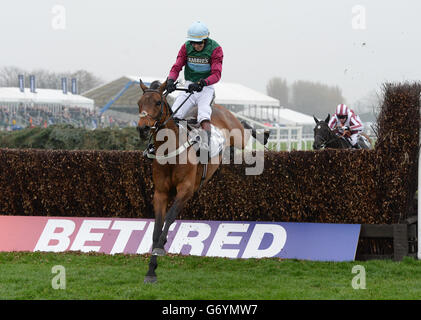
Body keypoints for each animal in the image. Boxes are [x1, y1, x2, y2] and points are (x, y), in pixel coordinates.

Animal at [136, 79, 268, 282]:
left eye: (158, 102)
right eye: (139, 103)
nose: (142, 128)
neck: (171, 151)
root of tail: (219, 107)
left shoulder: (186, 189)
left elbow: (170, 217)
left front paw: (160, 248)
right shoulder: (160, 193)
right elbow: (157, 227)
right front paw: (151, 271)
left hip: (238, 135)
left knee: (246, 132)